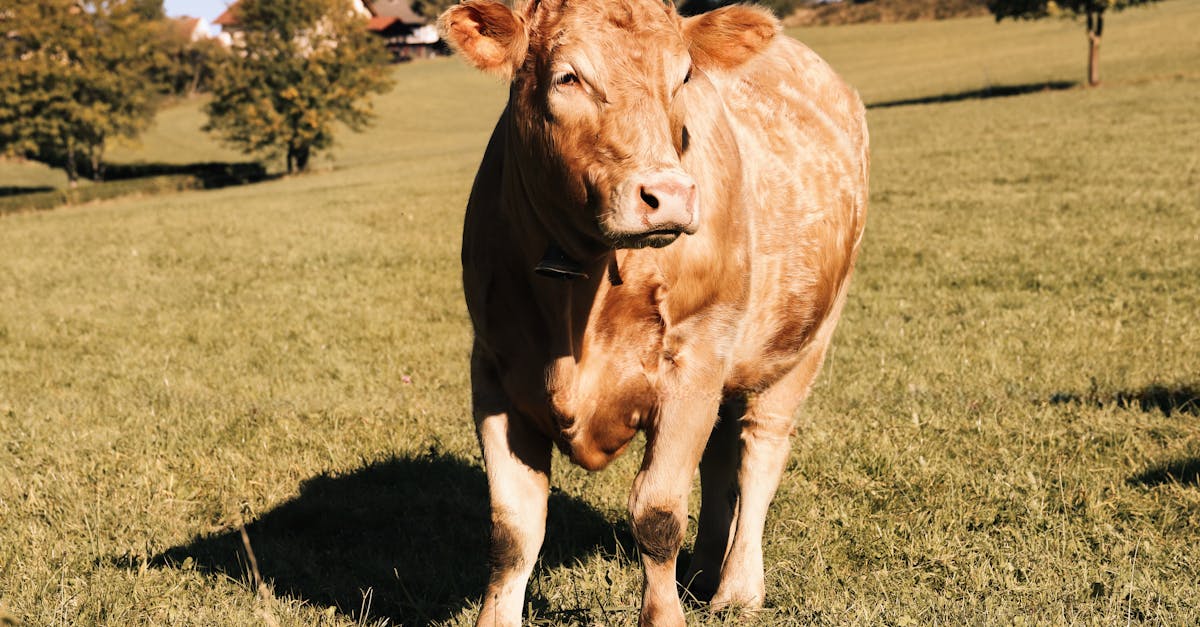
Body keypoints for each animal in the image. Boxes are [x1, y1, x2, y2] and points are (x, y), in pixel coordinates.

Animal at [438, 0, 868, 624]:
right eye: (568, 77)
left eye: (683, 77)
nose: (668, 195)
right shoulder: (495, 372)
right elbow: (512, 529)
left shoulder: (691, 365)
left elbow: (657, 514)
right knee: (721, 457)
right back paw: (706, 569)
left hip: (807, 339)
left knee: (760, 450)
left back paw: (738, 589)